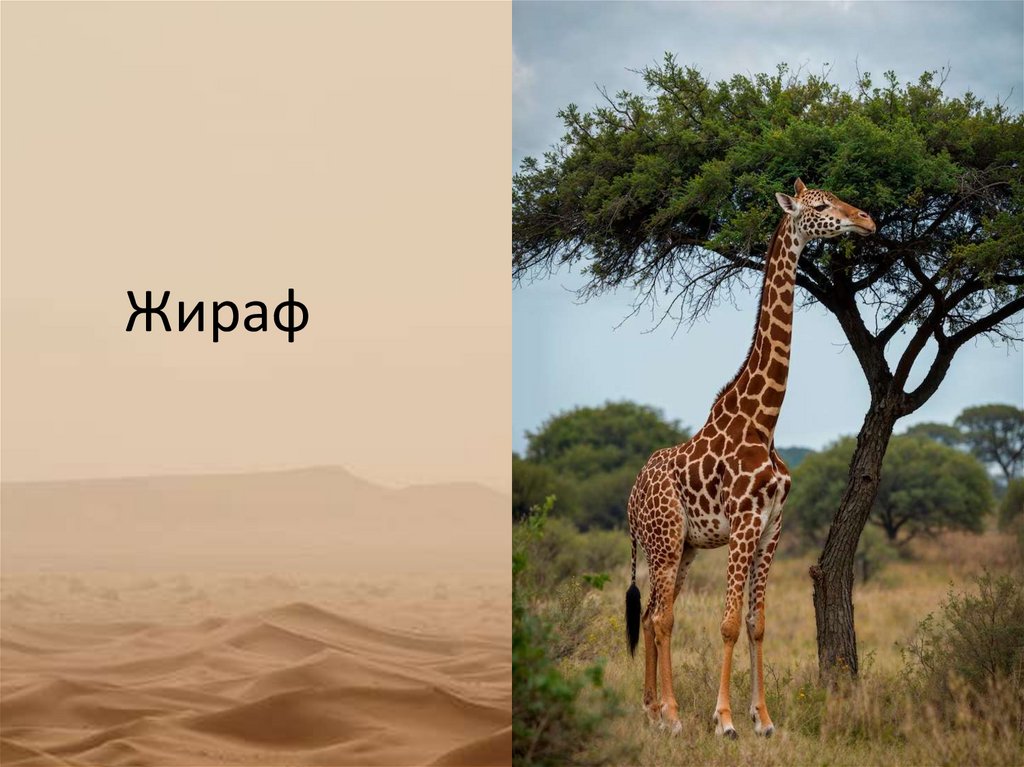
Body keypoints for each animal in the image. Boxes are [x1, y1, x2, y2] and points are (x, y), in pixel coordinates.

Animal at [624, 179, 875, 738]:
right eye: (820, 205)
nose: (867, 220)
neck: (764, 421)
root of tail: (630, 497)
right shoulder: (743, 522)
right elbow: (728, 623)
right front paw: (725, 720)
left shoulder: (772, 526)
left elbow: (758, 625)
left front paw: (764, 719)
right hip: (664, 540)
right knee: (662, 617)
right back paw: (672, 715)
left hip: (685, 547)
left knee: (652, 614)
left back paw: (651, 709)